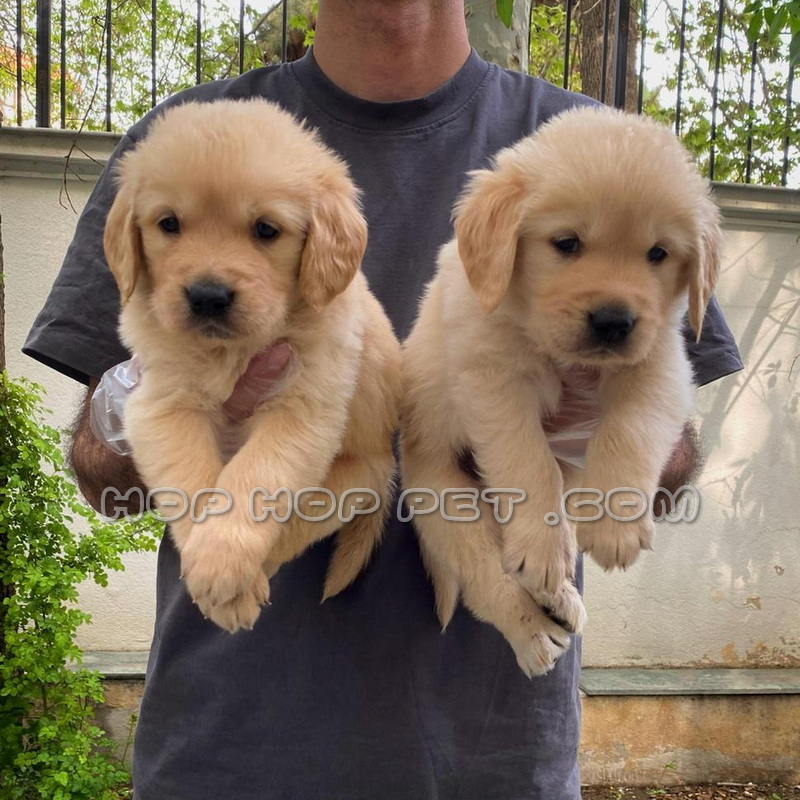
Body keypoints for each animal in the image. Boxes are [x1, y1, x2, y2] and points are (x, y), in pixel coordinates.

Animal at [103, 99, 402, 632]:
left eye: (266, 229)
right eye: (168, 223)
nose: (207, 296)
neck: (233, 350)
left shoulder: (301, 410)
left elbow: (254, 475)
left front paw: (221, 562)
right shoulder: (162, 404)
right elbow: (192, 480)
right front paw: (209, 563)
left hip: (348, 481)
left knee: (293, 531)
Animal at [399, 106, 720, 676]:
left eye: (658, 253)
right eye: (567, 243)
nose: (614, 321)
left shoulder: (660, 366)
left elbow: (630, 429)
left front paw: (615, 524)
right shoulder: (492, 376)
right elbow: (528, 461)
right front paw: (544, 548)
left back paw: (561, 596)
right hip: (444, 499)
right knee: (487, 573)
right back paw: (534, 630)